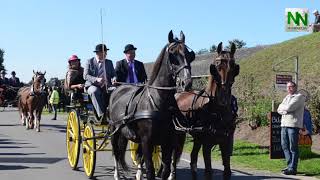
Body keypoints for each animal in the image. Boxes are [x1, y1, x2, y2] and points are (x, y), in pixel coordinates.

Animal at [109, 31, 195, 180]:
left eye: (189, 55)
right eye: (172, 55)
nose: (187, 82)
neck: (158, 101)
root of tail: (118, 89)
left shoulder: (167, 142)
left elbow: (165, 169)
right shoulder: (146, 141)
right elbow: (150, 171)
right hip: (115, 130)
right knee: (116, 152)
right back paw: (117, 174)